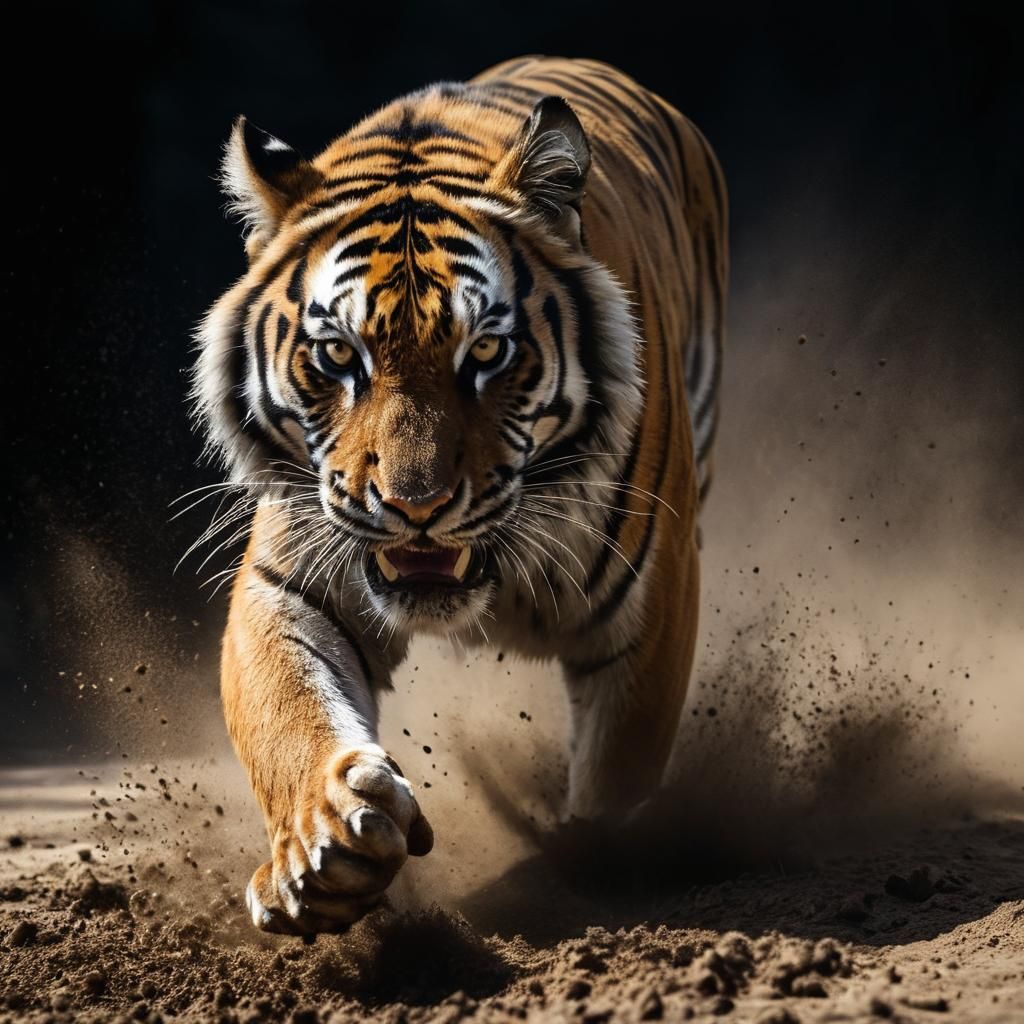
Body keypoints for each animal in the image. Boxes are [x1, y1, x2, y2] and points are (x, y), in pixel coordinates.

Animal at [192, 56, 727, 935]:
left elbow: (618, 771)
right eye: (338, 354)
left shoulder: (651, 599)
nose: (416, 506)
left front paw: (587, 871)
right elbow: (289, 712)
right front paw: (329, 846)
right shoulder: (294, 579)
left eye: (484, 352)